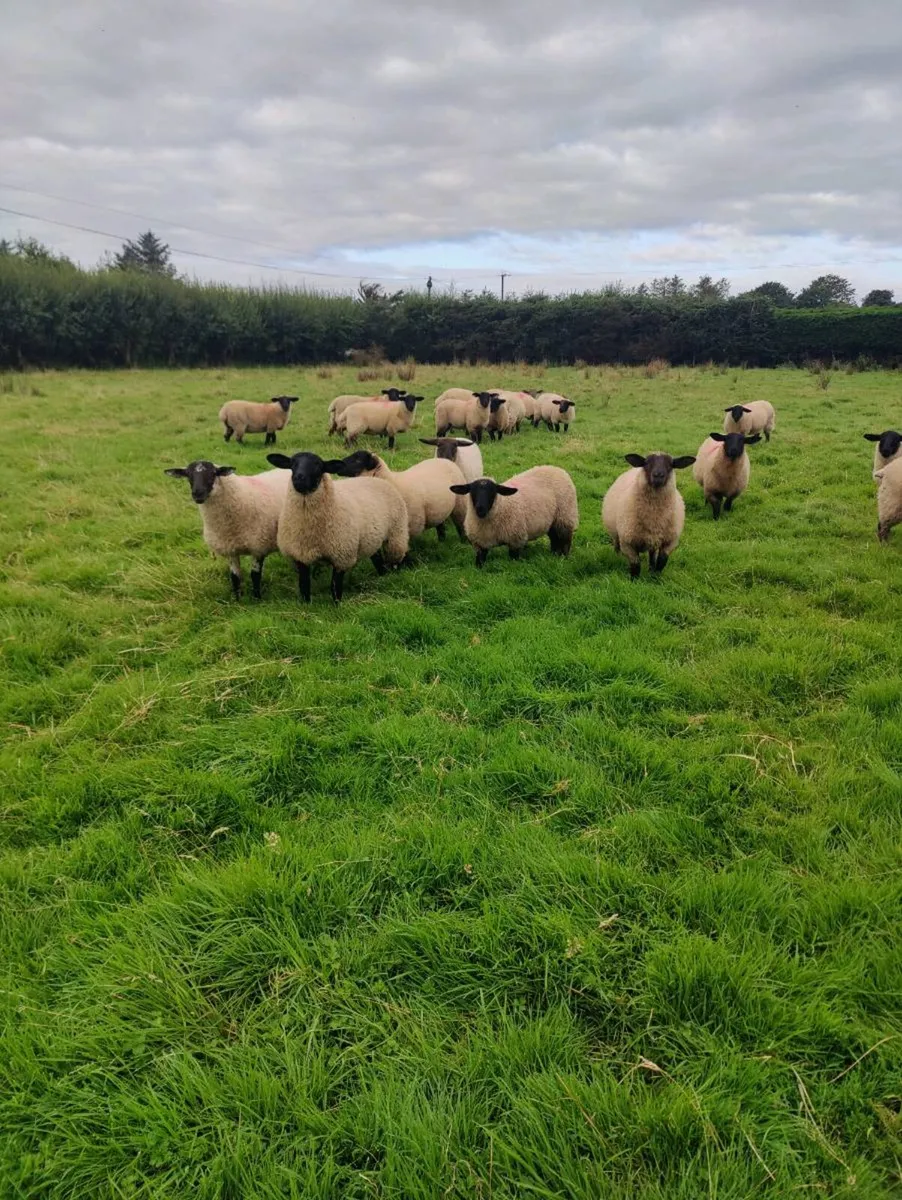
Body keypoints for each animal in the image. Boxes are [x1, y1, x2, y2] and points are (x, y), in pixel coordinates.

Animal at [164, 460, 290, 598]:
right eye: (188, 475)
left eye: (213, 473)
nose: (198, 494)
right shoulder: (229, 547)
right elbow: (235, 577)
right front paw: (237, 599)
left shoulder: (259, 546)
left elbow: (255, 575)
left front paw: (257, 598)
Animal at [266, 451, 409, 602]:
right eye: (292, 463)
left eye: (318, 465)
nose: (299, 478)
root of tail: (378, 480)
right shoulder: (300, 556)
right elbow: (304, 586)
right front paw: (306, 604)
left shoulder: (341, 556)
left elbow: (335, 587)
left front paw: (337, 604)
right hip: (371, 538)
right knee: (377, 558)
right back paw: (382, 575)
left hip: (396, 534)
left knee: (398, 556)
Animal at [449, 466, 579, 567]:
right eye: (472, 491)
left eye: (493, 491)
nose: (480, 509)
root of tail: (556, 468)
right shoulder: (479, 545)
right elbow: (479, 563)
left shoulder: (515, 540)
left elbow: (513, 560)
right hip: (553, 521)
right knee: (554, 538)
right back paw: (554, 554)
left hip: (565, 516)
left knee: (565, 540)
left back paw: (563, 557)